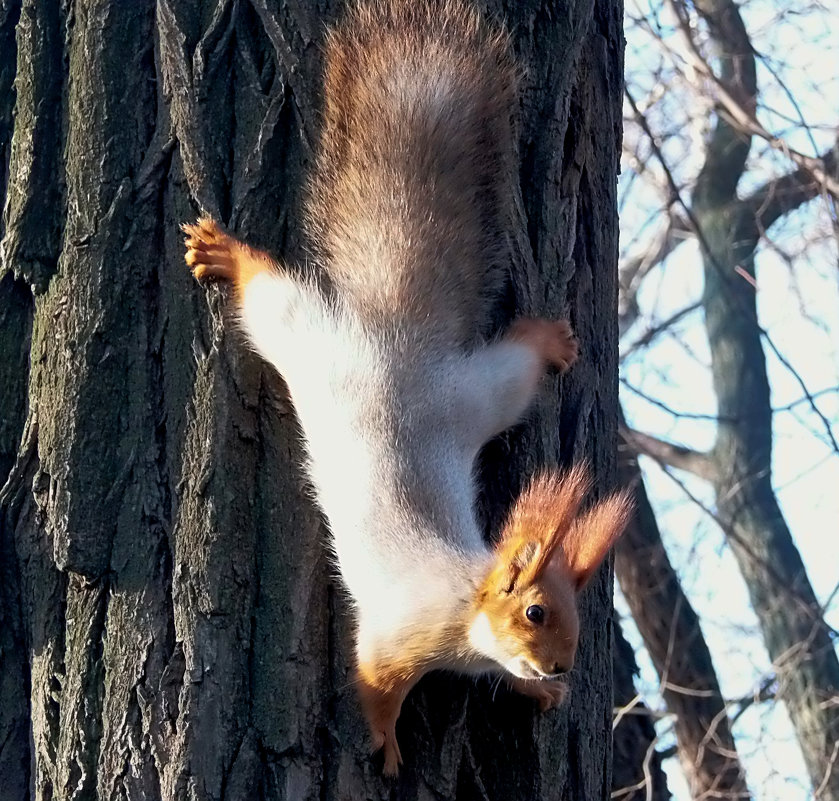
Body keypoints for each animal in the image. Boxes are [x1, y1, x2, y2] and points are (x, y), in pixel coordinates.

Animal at [182, 0, 632, 776]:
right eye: (535, 612)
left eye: (571, 614)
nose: (558, 667)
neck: (466, 607)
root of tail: (399, 344)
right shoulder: (397, 636)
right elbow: (375, 683)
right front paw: (386, 744)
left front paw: (536, 693)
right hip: (309, 345)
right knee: (270, 299)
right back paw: (227, 255)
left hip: (480, 395)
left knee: (516, 366)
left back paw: (549, 341)